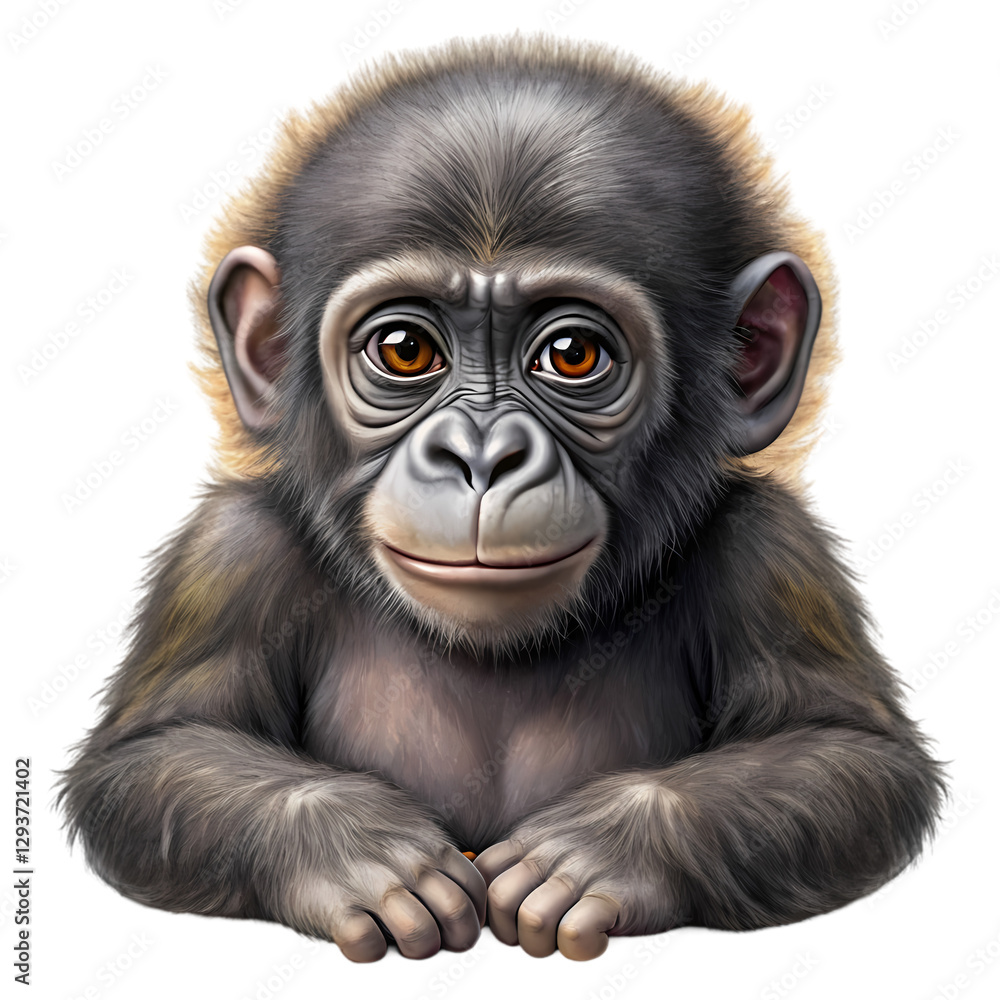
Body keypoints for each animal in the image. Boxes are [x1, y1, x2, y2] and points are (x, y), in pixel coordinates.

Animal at [59, 36, 944, 963]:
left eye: (573, 354)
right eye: (404, 350)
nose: (482, 456)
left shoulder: (773, 553)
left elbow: (849, 754)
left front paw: (606, 849)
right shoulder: (227, 553)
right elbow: (154, 754)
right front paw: (360, 850)